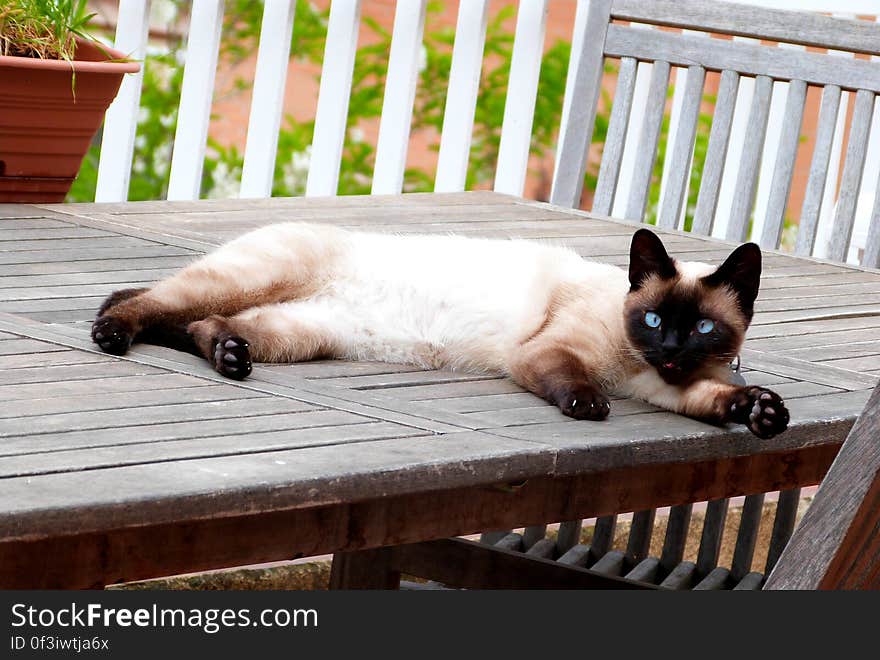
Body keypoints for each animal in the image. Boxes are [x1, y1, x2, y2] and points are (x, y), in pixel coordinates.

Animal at [94, 226, 792, 438]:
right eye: (652, 319)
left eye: (701, 327)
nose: (669, 349)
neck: (639, 366)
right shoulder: (549, 354)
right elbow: (574, 381)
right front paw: (591, 407)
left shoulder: (667, 389)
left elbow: (716, 400)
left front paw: (763, 412)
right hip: (253, 282)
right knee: (147, 303)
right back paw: (111, 335)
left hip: (301, 333)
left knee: (199, 326)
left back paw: (231, 357)